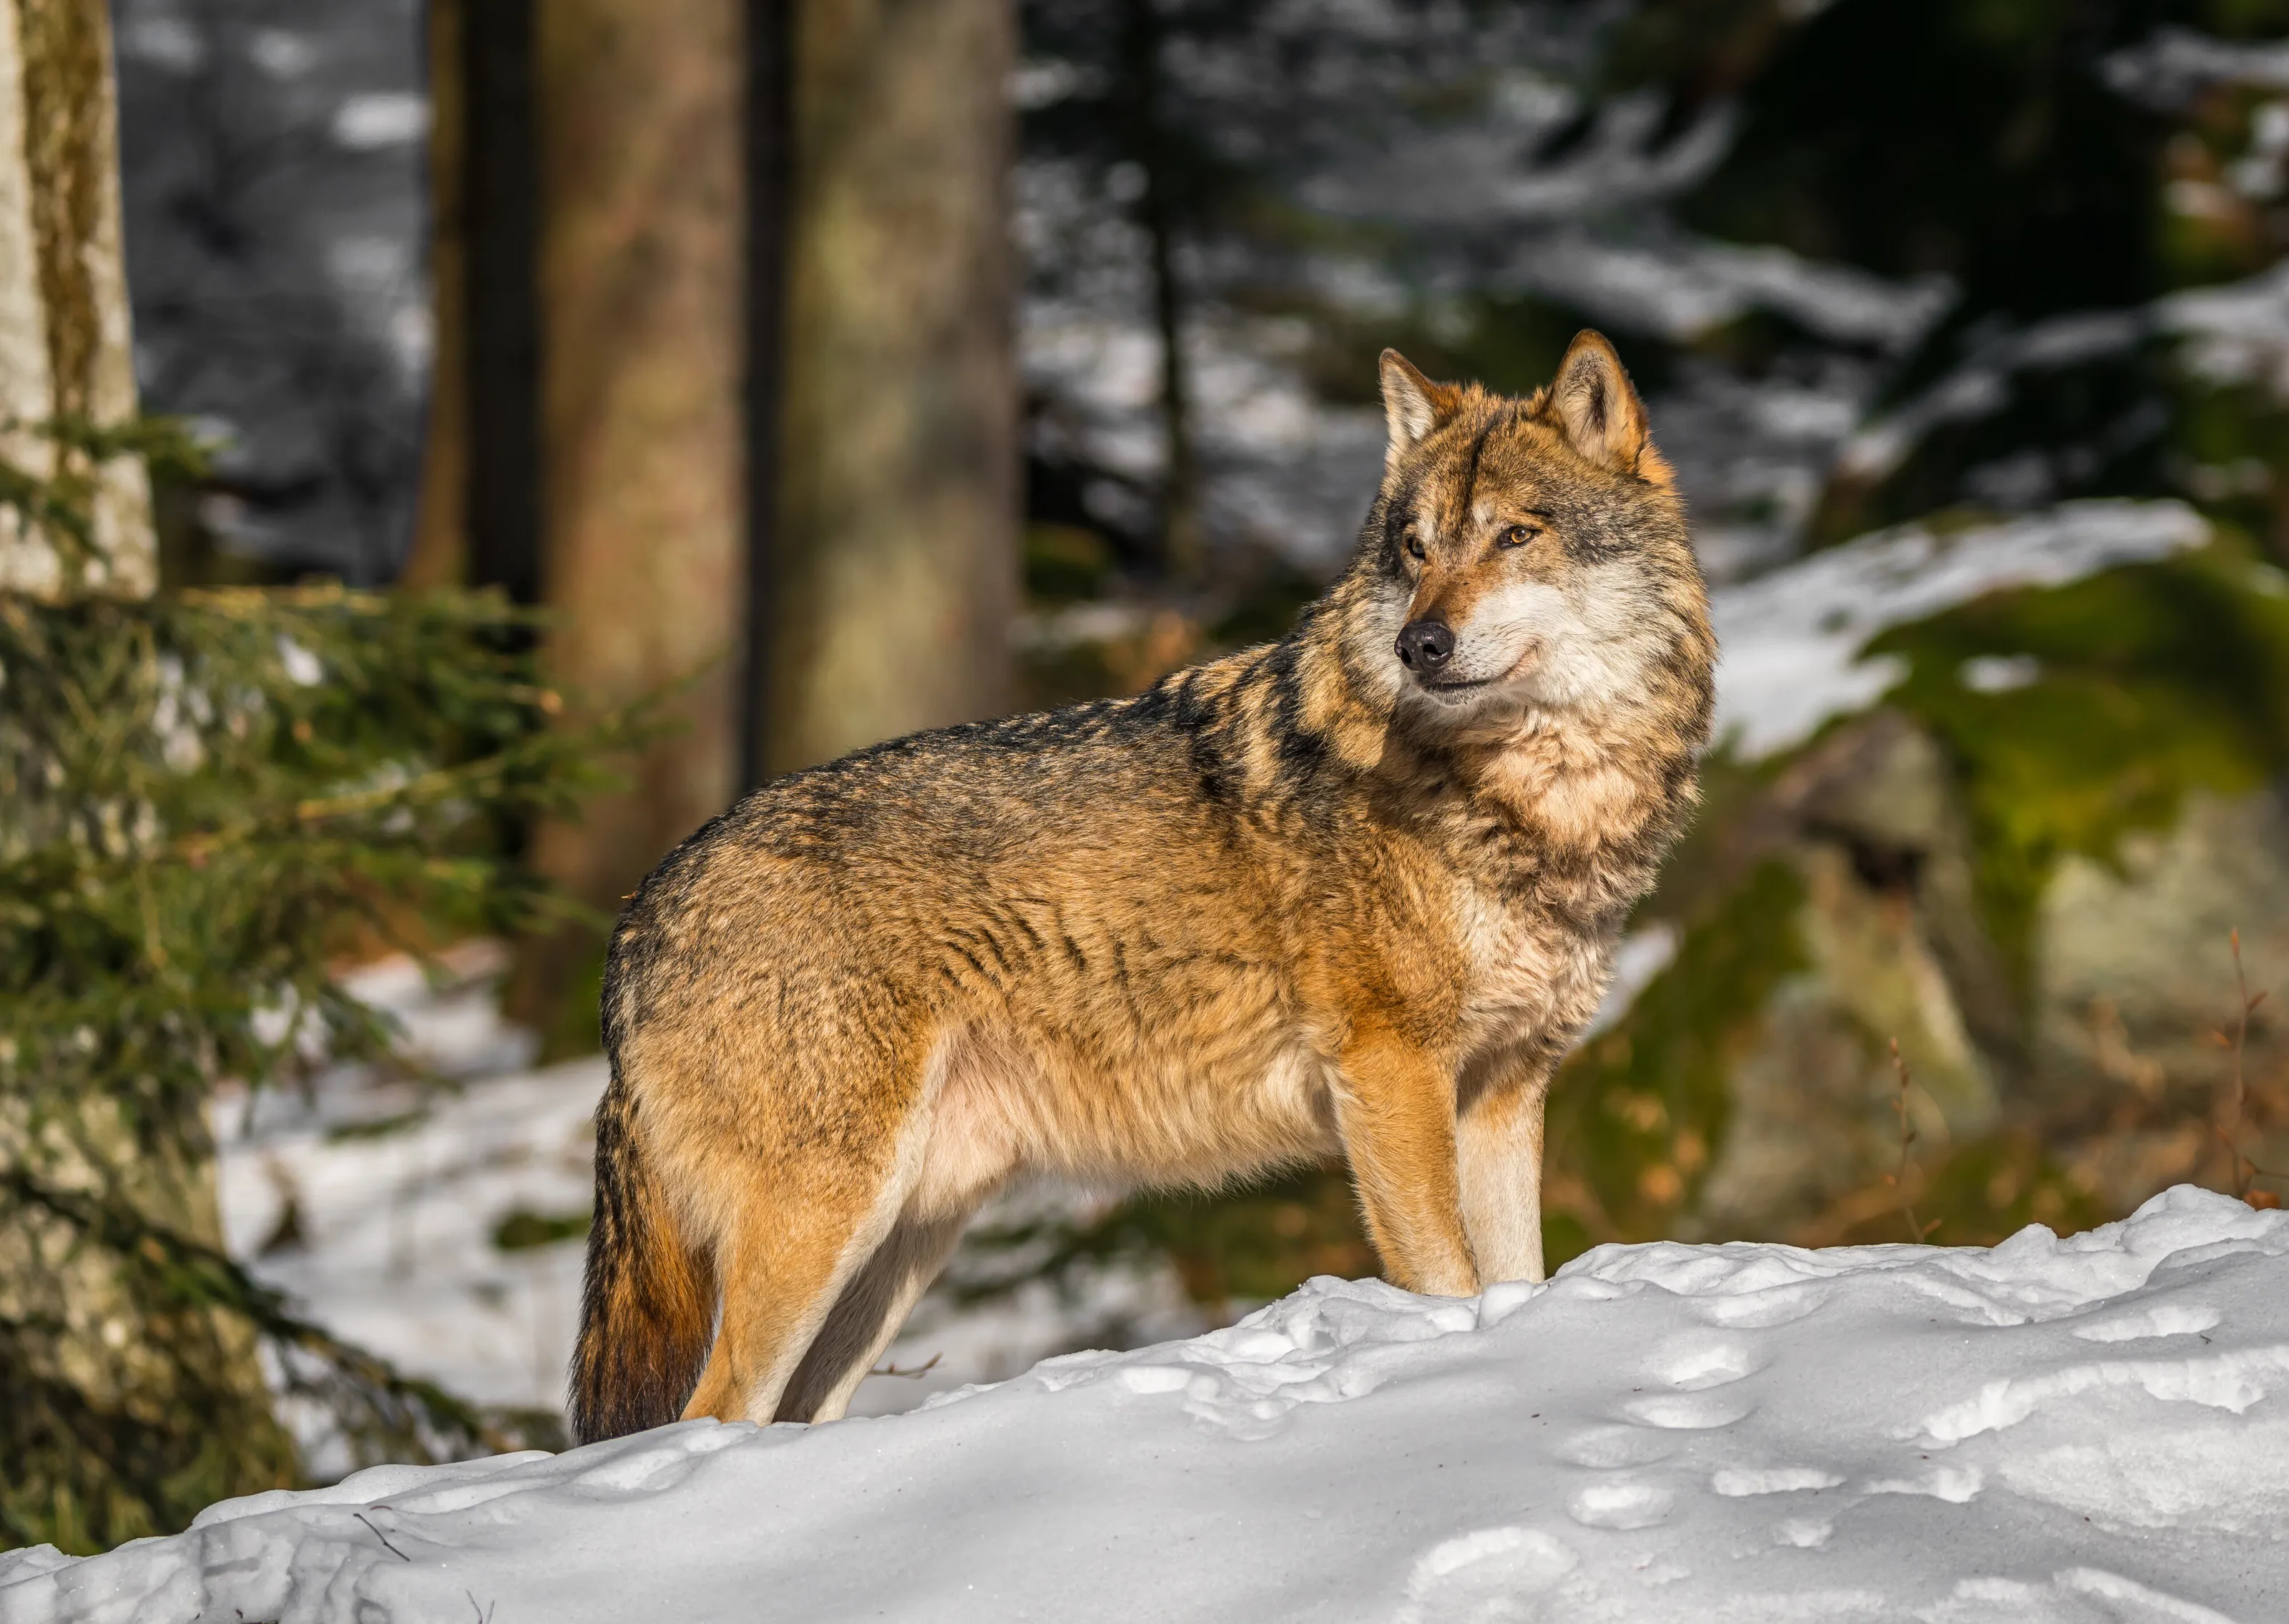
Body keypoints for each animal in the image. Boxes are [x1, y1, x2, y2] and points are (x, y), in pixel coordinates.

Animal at [570, 331, 1715, 1443]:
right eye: (1416, 550)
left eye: (1517, 535)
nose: (1418, 642)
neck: (1535, 802)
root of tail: (640, 911)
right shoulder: (1390, 1073)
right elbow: (1447, 1282)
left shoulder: (1506, 1088)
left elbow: (1514, 1279)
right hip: (826, 1220)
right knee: (711, 1413)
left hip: (900, 1239)